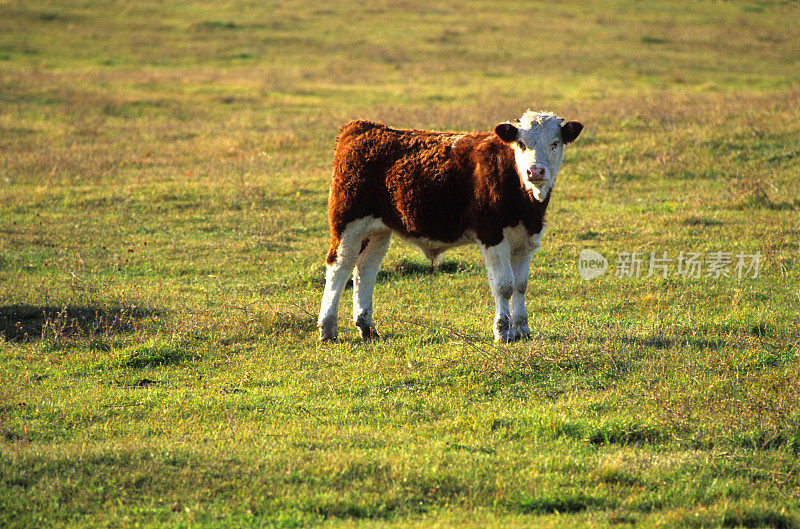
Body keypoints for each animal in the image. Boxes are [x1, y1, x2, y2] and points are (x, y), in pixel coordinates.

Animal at [316, 110, 584, 342]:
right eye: (521, 143)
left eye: (555, 143)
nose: (535, 171)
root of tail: (364, 128)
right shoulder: (492, 235)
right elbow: (504, 285)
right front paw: (503, 332)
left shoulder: (526, 240)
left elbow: (520, 285)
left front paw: (523, 330)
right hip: (348, 221)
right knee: (339, 267)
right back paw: (328, 329)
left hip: (378, 230)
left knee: (365, 271)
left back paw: (367, 327)